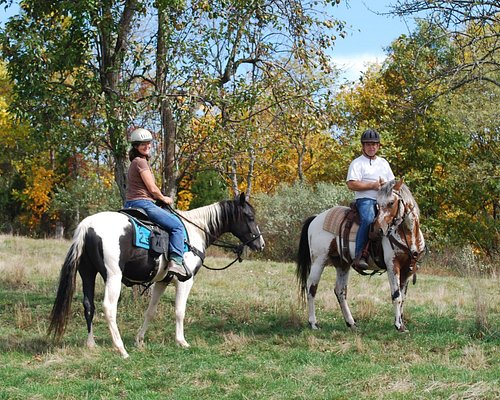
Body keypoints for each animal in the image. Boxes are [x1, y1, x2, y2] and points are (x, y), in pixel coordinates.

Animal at [296, 180, 426, 332]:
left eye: (391, 202)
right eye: (377, 203)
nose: (378, 229)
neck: (408, 235)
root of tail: (316, 218)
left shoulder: (408, 269)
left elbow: (403, 296)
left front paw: (402, 324)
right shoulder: (392, 265)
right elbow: (396, 296)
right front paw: (398, 325)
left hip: (342, 264)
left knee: (340, 291)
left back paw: (351, 323)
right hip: (318, 261)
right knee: (311, 288)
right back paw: (313, 323)